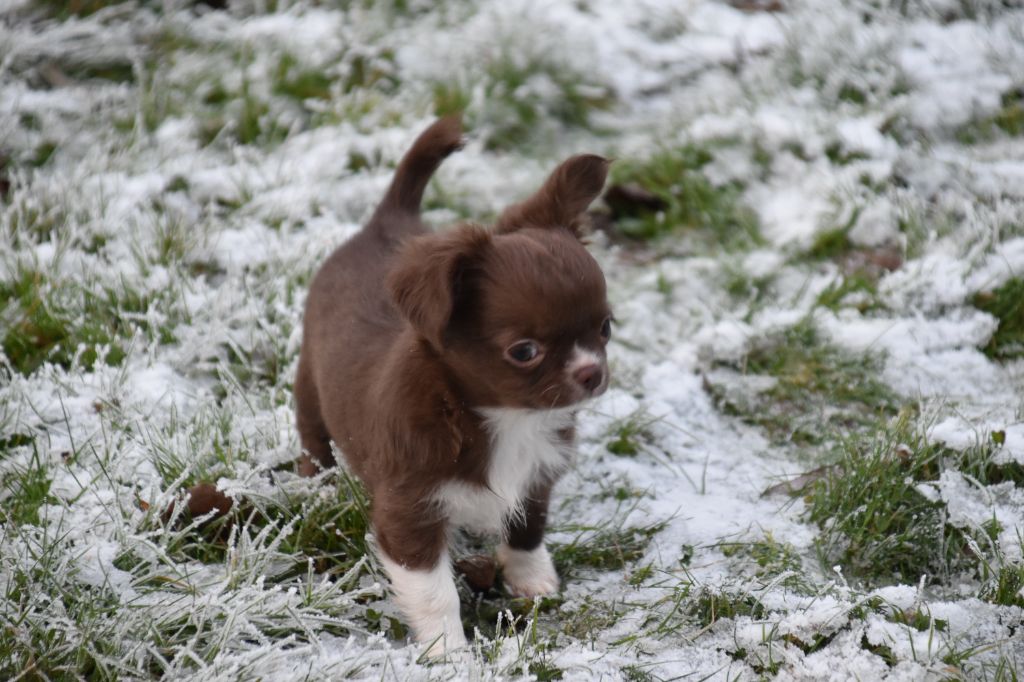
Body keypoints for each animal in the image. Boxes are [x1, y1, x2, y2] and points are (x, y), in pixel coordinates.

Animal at [299, 115, 614, 655]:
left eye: (606, 328)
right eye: (524, 351)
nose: (592, 372)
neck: (504, 418)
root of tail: (387, 220)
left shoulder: (536, 477)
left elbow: (528, 529)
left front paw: (531, 579)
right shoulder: (409, 512)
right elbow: (435, 593)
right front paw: (447, 653)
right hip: (309, 389)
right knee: (313, 441)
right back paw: (314, 485)